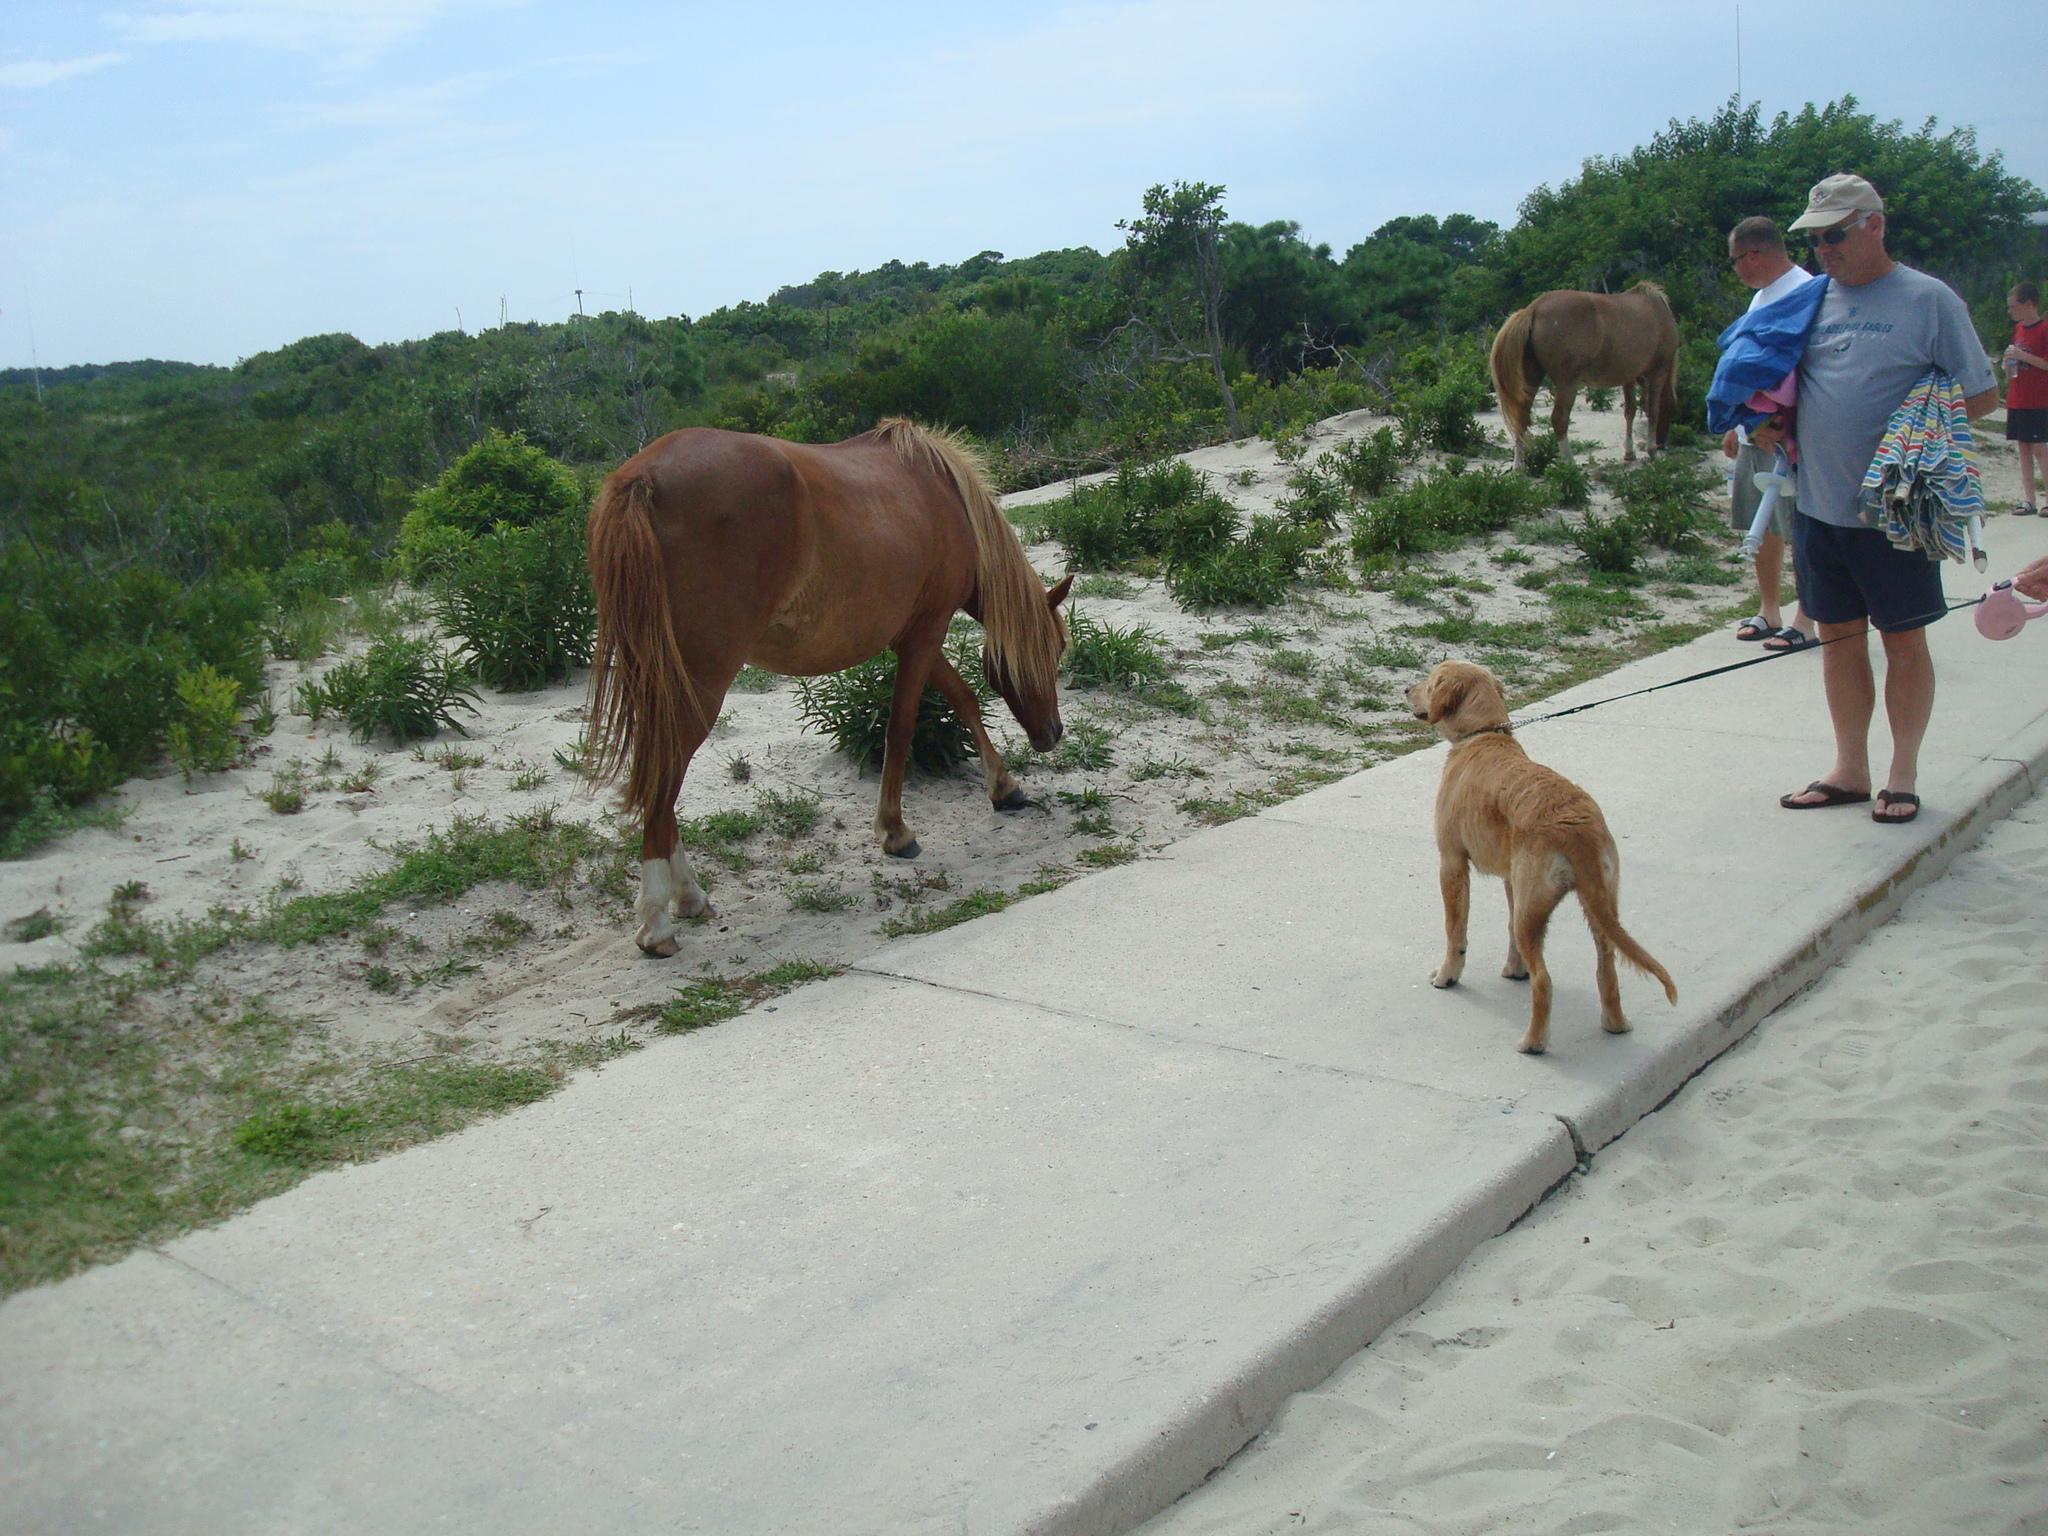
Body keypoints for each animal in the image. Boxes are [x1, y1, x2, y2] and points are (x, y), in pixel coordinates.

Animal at [585, 415, 1073, 958]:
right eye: (1056, 648)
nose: (1052, 733)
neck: (944, 495)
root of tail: (642, 478)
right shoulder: (925, 633)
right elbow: (902, 728)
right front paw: (895, 831)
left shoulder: (913, 635)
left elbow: (963, 699)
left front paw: (1004, 787)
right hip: (699, 682)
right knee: (664, 774)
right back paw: (657, 922)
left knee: (659, 779)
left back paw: (690, 896)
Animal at [1409, 663, 1679, 1056]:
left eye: (1429, 683)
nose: (1405, 691)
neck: (1483, 736)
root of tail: (1581, 829)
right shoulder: (1511, 879)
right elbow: (1506, 927)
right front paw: (1513, 969)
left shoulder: (1452, 861)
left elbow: (1455, 930)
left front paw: (1447, 975)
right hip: (1592, 903)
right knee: (1606, 966)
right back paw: (1615, 1023)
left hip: (1535, 904)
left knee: (1544, 980)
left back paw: (1533, 1043)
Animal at [1490, 280, 1679, 466]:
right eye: (1671, 412)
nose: (1662, 443)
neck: (1657, 311)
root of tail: (1534, 309)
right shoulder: (1658, 372)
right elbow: (1652, 410)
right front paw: (1651, 450)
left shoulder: (1629, 377)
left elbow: (1630, 411)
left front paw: (1629, 452)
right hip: (1567, 384)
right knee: (1559, 419)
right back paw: (1570, 465)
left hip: (1532, 379)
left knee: (1521, 418)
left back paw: (1518, 467)